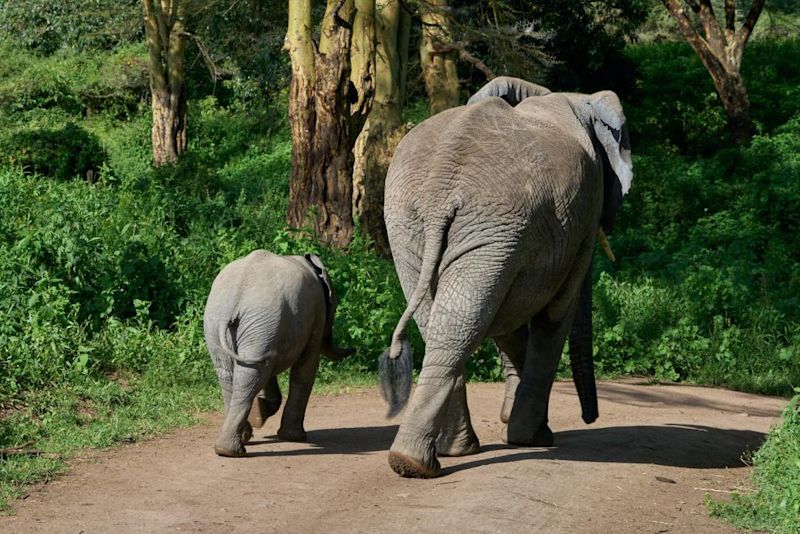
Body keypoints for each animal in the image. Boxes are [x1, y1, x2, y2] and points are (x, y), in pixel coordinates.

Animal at [205, 250, 354, 456]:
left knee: (234, 372)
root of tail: (235, 297)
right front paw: (294, 438)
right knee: (251, 372)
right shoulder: (317, 314)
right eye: (336, 306)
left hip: (232, 324)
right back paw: (235, 447)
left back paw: (231, 446)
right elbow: (306, 368)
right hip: (258, 322)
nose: (353, 349)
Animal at [380, 76, 632, 482]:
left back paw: (431, 457)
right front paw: (533, 437)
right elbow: (555, 314)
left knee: (449, 318)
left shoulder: (519, 239)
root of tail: (441, 185)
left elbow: (505, 316)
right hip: (483, 221)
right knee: (466, 316)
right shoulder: (582, 215)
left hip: (419, 224)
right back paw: (424, 461)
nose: (590, 418)